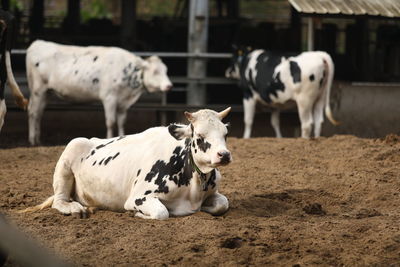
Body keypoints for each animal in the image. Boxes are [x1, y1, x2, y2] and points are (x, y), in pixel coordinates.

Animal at [20, 108, 233, 221]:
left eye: (225, 134)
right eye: (200, 136)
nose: (224, 155)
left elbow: (222, 203)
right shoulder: (138, 197)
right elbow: (161, 212)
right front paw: (139, 215)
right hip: (69, 154)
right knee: (59, 200)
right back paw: (74, 208)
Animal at [25, 39, 173, 146]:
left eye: (166, 70)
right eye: (155, 71)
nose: (169, 86)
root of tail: (37, 43)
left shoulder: (123, 103)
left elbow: (121, 122)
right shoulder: (109, 97)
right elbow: (111, 122)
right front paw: (110, 138)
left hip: (46, 93)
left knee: (38, 113)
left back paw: (38, 139)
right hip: (38, 90)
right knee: (33, 112)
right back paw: (32, 140)